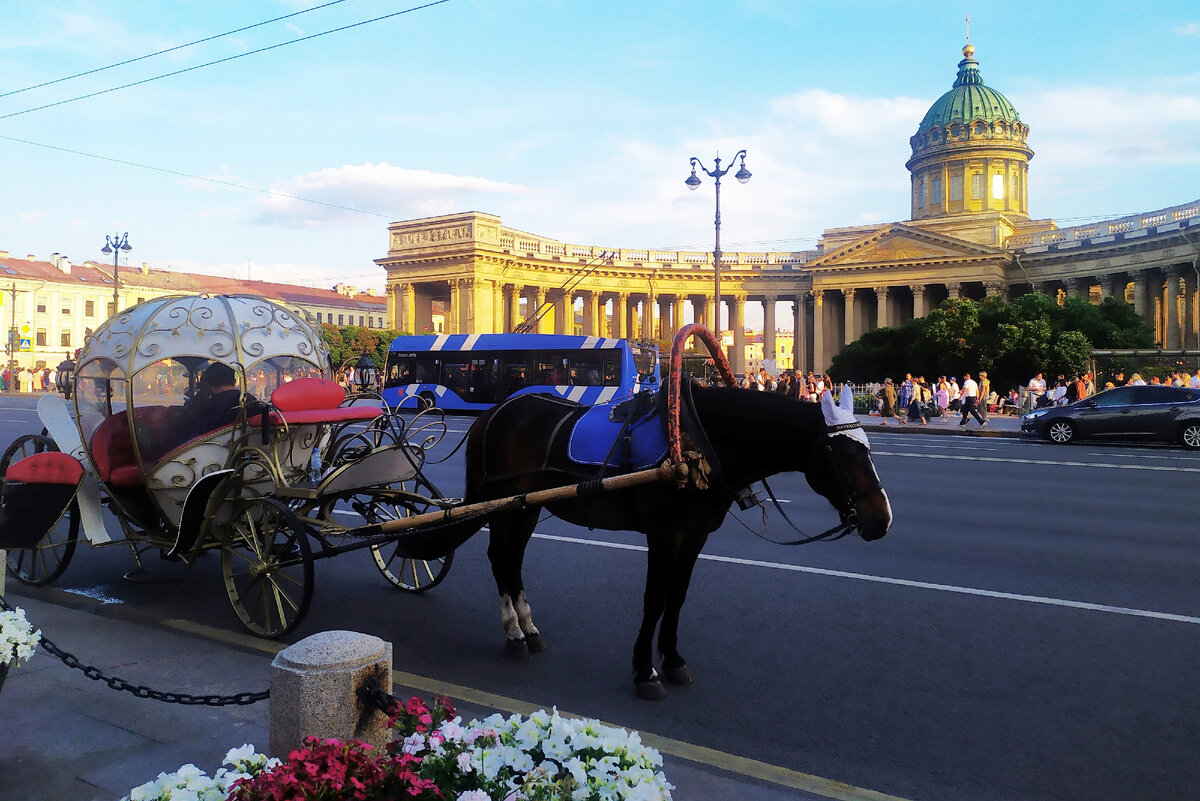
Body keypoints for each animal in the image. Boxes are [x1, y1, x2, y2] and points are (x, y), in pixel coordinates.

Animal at [458, 378, 892, 695]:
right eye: (842, 455)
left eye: (869, 450)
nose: (881, 520)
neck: (698, 441)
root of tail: (492, 413)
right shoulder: (664, 535)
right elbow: (654, 599)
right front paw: (644, 671)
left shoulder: (696, 535)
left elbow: (677, 598)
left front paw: (673, 660)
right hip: (503, 503)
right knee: (500, 556)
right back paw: (513, 631)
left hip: (526, 506)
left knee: (513, 558)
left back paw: (528, 628)